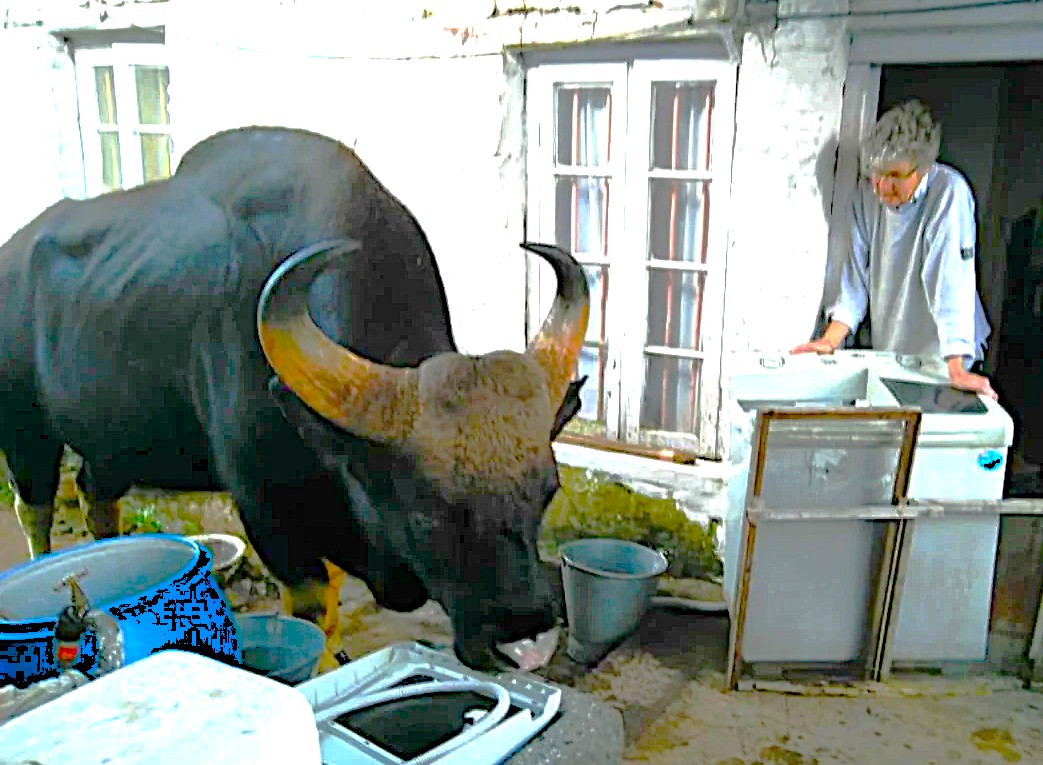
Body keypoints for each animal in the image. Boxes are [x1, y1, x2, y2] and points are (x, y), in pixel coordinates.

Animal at [0, 126, 589, 670]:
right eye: (427, 512)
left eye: (547, 492)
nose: (525, 641)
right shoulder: (265, 506)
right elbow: (311, 603)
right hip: (26, 430)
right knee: (35, 508)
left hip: (114, 442)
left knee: (95, 494)